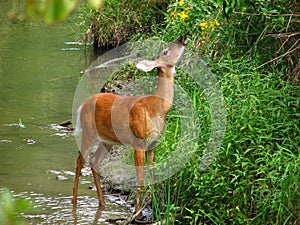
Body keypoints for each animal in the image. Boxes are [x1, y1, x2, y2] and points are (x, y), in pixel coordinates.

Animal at [71, 37, 186, 219]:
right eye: (166, 51)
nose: (181, 39)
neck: (158, 108)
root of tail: (81, 106)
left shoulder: (153, 144)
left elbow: (152, 171)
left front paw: (154, 203)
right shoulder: (138, 142)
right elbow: (140, 175)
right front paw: (138, 212)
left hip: (107, 140)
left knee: (94, 160)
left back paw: (102, 203)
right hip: (89, 132)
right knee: (79, 160)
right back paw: (74, 201)